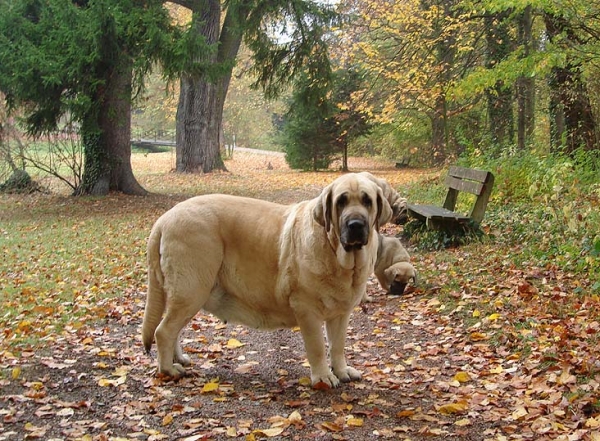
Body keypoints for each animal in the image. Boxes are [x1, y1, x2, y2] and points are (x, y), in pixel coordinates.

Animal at [141, 174, 394, 386]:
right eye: (341, 201)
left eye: (367, 201)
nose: (356, 225)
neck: (335, 253)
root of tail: (164, 219)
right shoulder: (307, 310)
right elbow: (318, 348)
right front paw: (323, 377)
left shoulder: (340, 314)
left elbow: (338, 346)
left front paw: (341, 371)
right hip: (191, 290)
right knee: (164, 331)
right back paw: (169, 370)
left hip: (189, 295)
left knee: (173, 329)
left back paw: (179, 359)